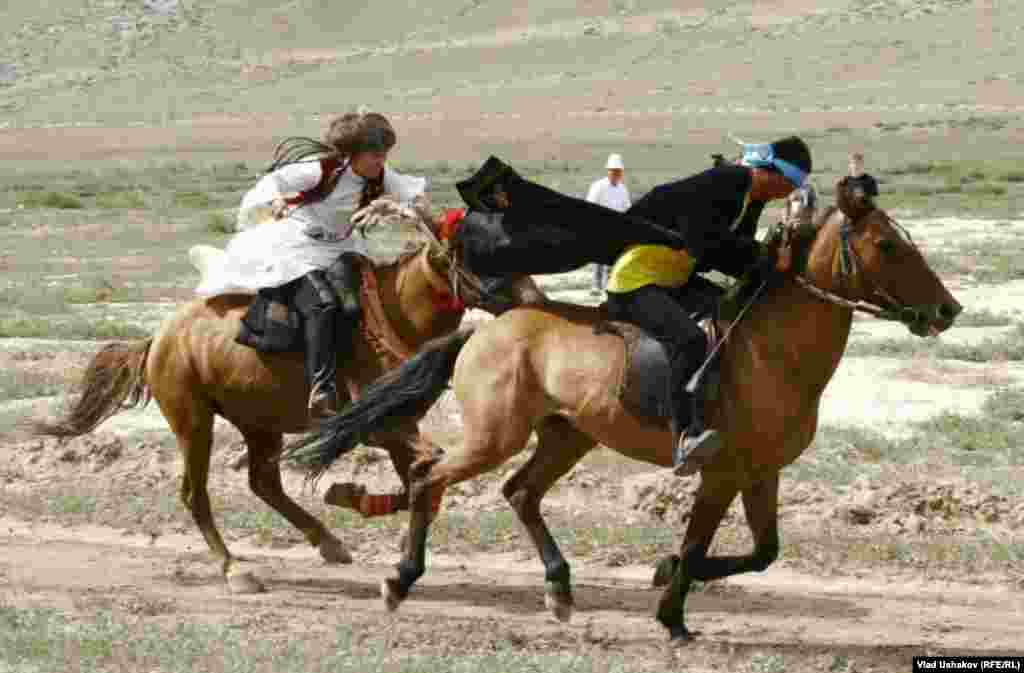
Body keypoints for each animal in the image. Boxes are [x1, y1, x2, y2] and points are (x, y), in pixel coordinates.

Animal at [34, 223, 543, 594]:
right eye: (486, 259)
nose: (537, 302)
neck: (395, 315)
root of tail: (158, 338)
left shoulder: (400, 425)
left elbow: (422, 480)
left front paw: (365, 507)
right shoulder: (376, 426)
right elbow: (426, 469)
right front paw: (352, 496)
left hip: (261, 425)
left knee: (263, 483)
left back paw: (329, 543)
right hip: (193, 421)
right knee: (196, 494)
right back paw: (236, 571)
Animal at [285, 181, 962, 639]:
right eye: (886, 245)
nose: (947, 310)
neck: (771, 350)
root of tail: (486, 326)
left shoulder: (761, 471)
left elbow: (762, 553)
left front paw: (664, 575)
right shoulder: (720, 471)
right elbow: (697, 541)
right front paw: (672, 614)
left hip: (567, 436)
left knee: (520, 493)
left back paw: (559, 589)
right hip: (494, 435)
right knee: (431, 478)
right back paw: (400, 580)